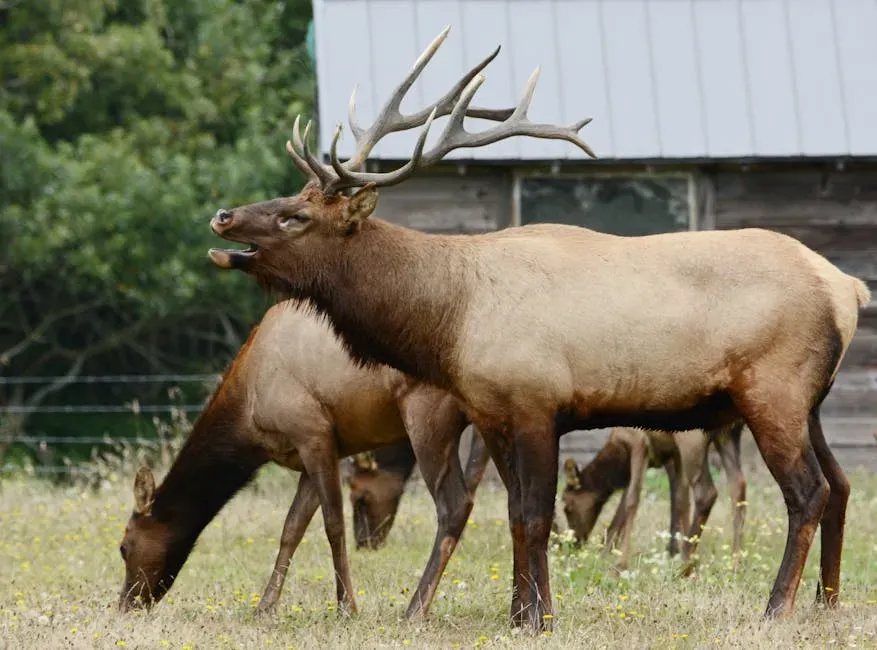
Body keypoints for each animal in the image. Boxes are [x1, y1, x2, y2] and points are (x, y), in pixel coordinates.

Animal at [562, 422, 747, 572]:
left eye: (567, 506)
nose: (573, 544)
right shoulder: (672, 454)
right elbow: (680, 501)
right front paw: (604, 552)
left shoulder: (638, 442)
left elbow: (631, 500)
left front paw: (619, 564)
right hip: (727, 436)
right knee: (738, 487)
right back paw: (734, 564)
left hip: (693, 440)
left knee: (706, 493)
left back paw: (686, 565)